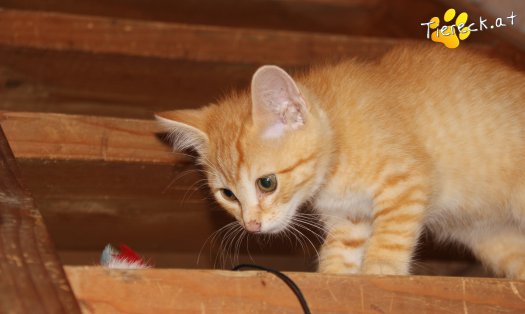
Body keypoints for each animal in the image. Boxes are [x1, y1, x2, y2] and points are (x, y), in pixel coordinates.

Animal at [156, 43, 524, 278]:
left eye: (267, 183)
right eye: (228, 195)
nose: (251, 226)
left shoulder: (408, 178)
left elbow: (392, 230)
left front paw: (382, 269)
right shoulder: (349, 218)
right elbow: (341, 250)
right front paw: (332, 275)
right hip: (491, 238)